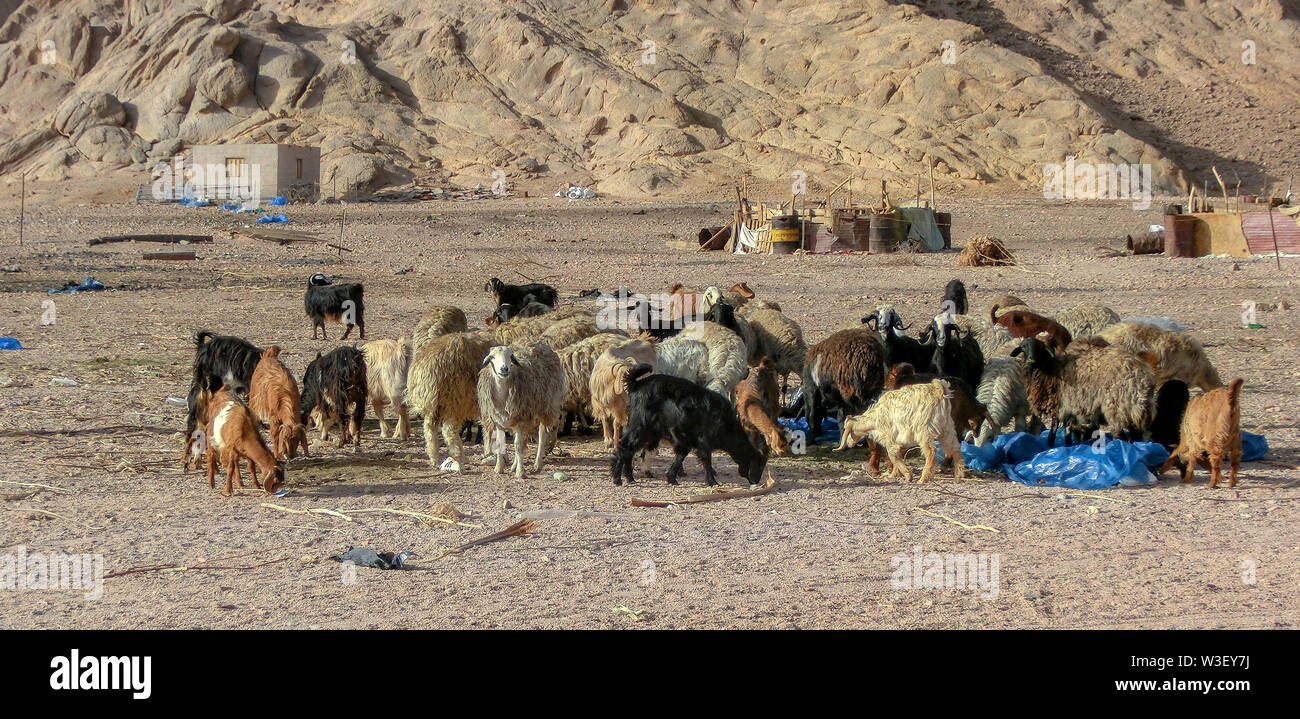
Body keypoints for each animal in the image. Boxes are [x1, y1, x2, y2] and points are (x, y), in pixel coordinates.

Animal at [405, 330, 498, 469]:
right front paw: (491, 455)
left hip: (436, 403)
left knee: (429, 427)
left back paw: (435, 458)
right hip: (455, 399)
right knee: (449, 430)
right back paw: (459, 456)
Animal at [477, 343, 568, 478]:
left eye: (510, 356)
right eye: (492, 357)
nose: (504, 369)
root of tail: (544, 346)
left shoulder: (520, 419)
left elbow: (518, 446)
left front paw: (521, 472)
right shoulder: (499, 421)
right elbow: (500, 445)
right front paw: (499, 468)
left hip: (546, 408)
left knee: (541, 437)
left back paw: (537, 465)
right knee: (523, 440)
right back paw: (514, 466)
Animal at [612, 364, 766, 487]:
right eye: (760, 464)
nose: (756, 481)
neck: (725, 422)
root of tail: (637, 384)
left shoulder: (686, 441)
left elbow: (680, 457)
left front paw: (672, 478)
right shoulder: (703, 441)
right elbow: (706, 461)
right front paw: (713, 482)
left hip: (647, 432)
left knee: (630, 449)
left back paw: (630, 478)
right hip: (641, 427)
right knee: (624, 447)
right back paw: (617, 479)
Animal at [835, 379, 966, 483]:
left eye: (847, 430)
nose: (849, 444)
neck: (875, 418)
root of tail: (939, 391)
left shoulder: (890, 438)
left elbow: (892, 456)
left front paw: (907, 476)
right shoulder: (901, 441)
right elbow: (897, 456)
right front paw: (894, 474)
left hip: (924, 430)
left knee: (931, 451)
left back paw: (923, 478)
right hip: (947, 428)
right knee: (955, 448)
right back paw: (958, 476)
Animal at [1012, 337, 1155, 446]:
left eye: (1040, 348)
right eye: (1023, 348)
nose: (1031, 359)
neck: (1049, 370)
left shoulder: (1061, 407)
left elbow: (1054, 430)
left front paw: (1051, 446)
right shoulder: (1071, 410)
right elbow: (1067, 431)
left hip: (1116, 405)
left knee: (1119, 432)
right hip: (1132, 409)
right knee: (1134, 432)